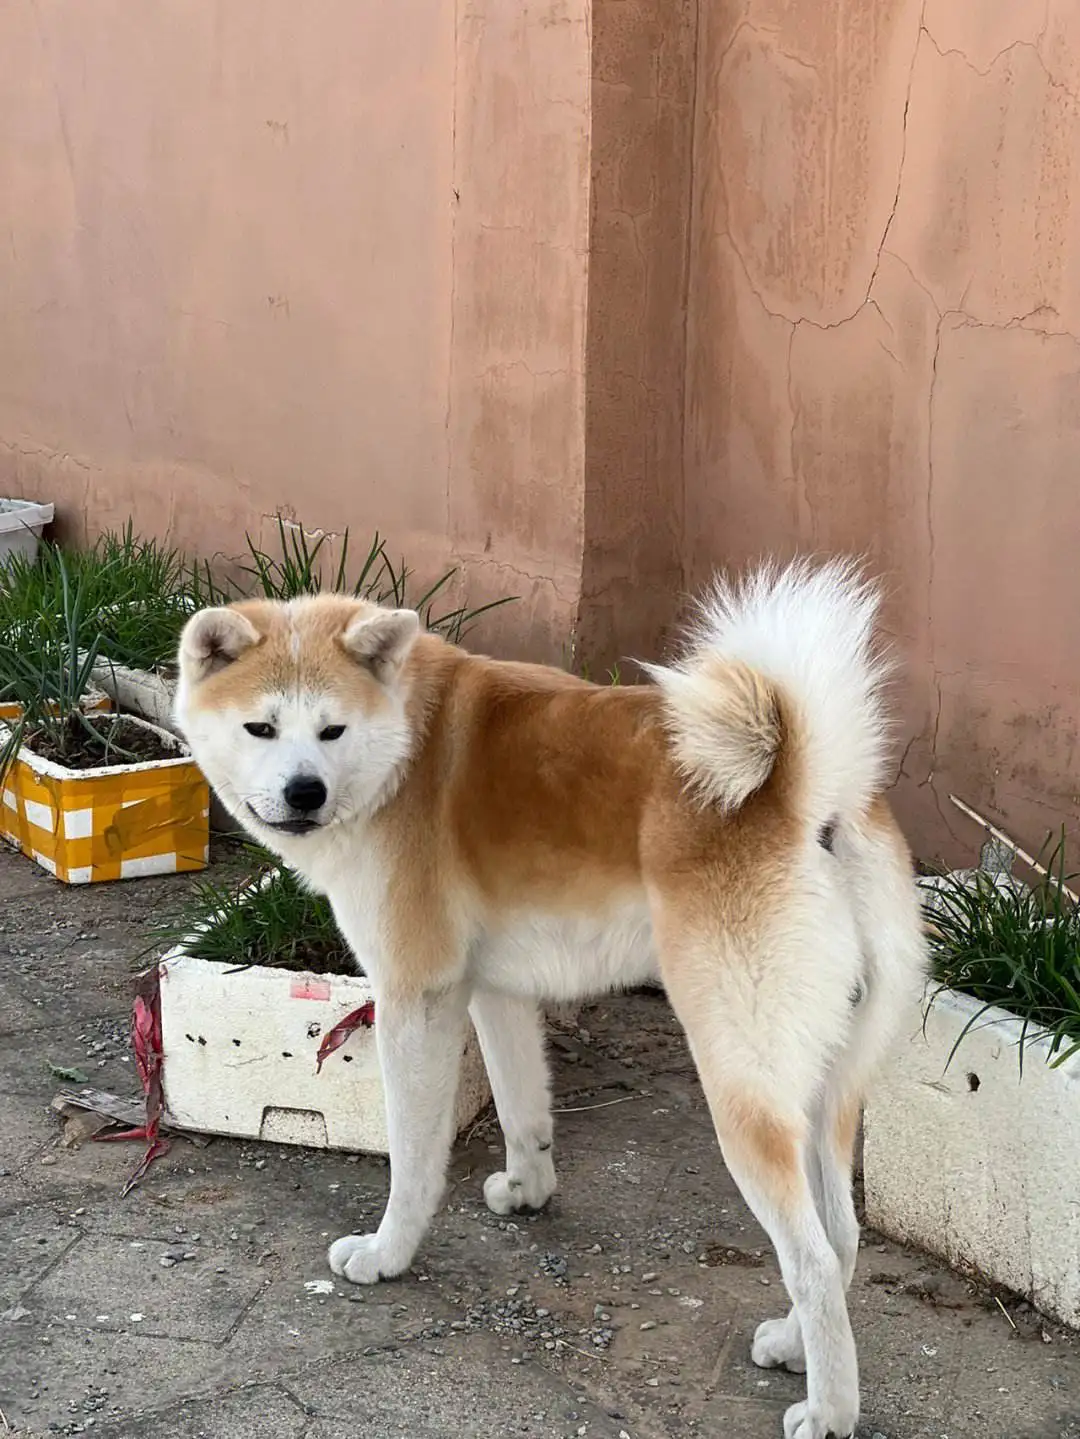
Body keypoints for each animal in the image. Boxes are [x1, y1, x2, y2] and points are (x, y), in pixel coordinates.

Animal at [173, 561, 926, 1439]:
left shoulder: (415, 997)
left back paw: (831, 1407)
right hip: (824, 1088)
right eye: (261, 727)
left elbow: (414, 1158)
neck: (405, 748)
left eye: (330, 732)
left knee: (809, 1253)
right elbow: (521, 1107)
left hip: (742, 1084)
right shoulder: (493, 990)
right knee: (840, 1238)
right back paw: (792, 1342)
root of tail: (809, 796)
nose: (304, 791)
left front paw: (389, 1252)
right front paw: (528, 1190)